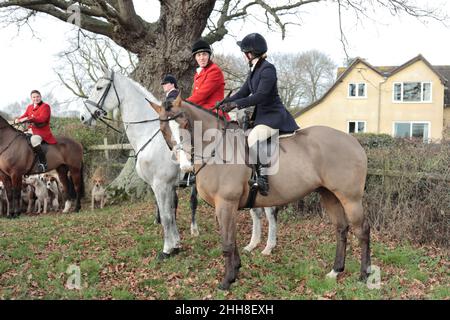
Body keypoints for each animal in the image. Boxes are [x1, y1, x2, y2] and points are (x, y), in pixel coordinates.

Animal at [80, 69, 278, 255]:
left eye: (99, 88)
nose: (82, 117)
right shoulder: (167, 186)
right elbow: (170, 214)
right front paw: (176, 244)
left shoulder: (161, 184)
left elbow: (167, 216)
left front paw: (167, 249)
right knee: (256, 211)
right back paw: (252, 244)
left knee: (269, 212)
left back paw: (268, 247)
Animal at [149, 97, 370, 290]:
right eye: (163, 129)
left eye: (185, 123)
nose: (185, 165)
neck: (216, 150)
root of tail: (353, 141)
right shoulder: (226, 207)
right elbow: (232, 239)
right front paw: (236, 271)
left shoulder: (226, 204)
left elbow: (227, 243)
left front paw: (226, 281)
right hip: (329, 195)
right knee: (341, 229)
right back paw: (336, 271)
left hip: (350, 198)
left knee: (362, 230)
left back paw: (364, 275)